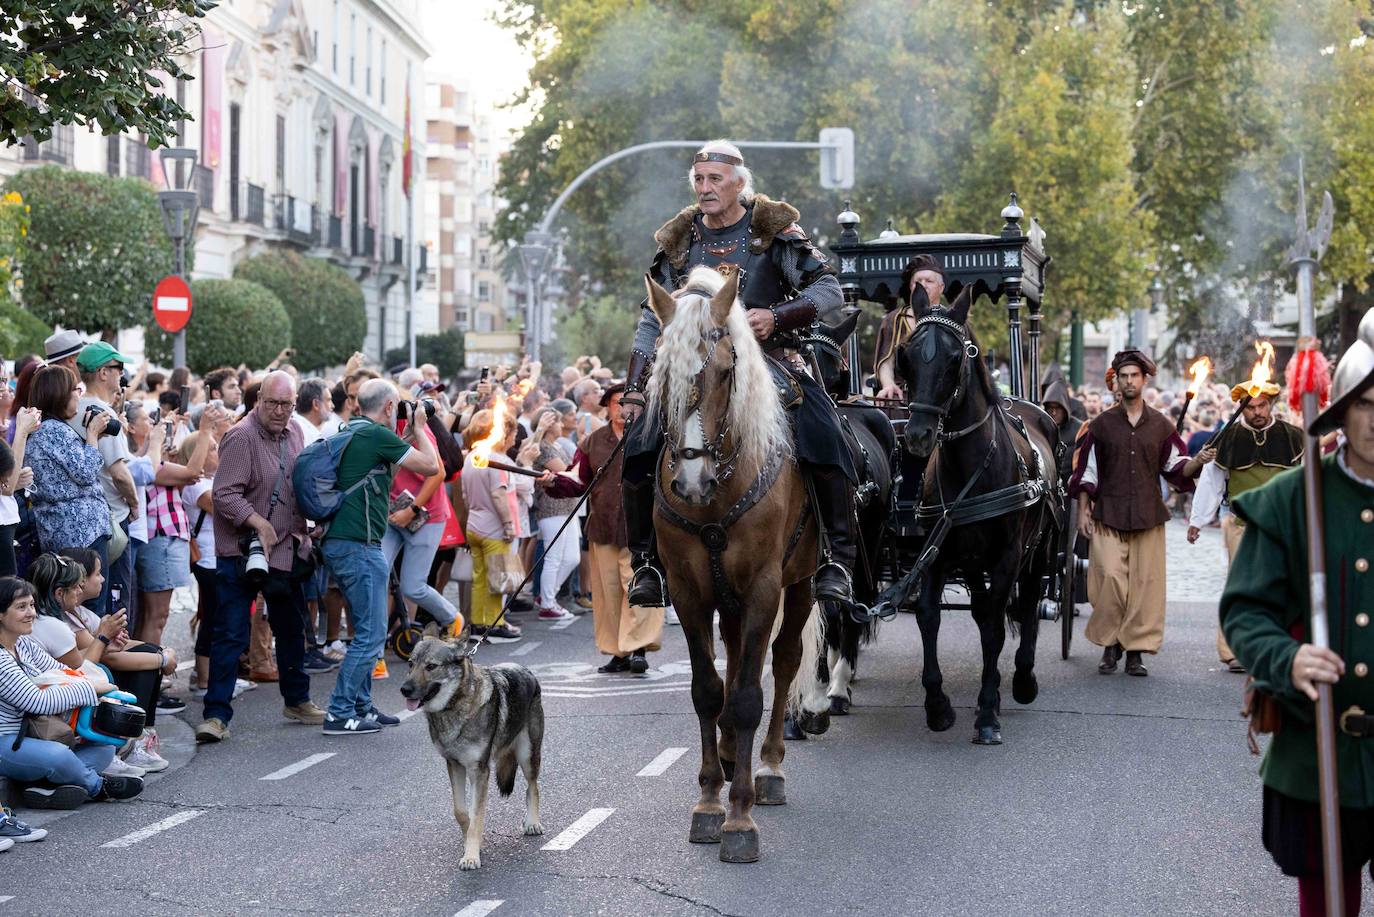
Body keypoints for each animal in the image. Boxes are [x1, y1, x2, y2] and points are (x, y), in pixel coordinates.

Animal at [398, 637, 541, 868]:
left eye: (431, 666)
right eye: (411, 664)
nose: (404, 689)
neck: (456, 705)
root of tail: (525, 670)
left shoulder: (479, 772)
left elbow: (476, 815)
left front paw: (471, 857)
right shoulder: (454, 765)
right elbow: (462, 812)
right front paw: (472, 844)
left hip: (528, 756)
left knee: (533, 787)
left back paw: (532, 822)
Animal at [643, 266, 824, 868]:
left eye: (726, 370)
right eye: (661, 372)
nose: (689, 482)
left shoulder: (766, 587)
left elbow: (747, 695)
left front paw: (740, 817)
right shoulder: (687, 591)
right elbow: (708, 689)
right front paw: (707, 803)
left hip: (803, 582)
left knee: (785, 662)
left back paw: (767, 766)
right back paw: (726, 756)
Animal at [890, 287, 1060, 747]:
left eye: (955, 358)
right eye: (907, 357)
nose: (917, 436)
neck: (972, 468)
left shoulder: (1006, 559)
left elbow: (998, 629)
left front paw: (986, 713)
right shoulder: (936, 555)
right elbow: (929, 618)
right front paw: (938, 706)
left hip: (1039, 550)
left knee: (1028, 602)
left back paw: (1022, 679)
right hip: (971, 561)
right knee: (985, 611)